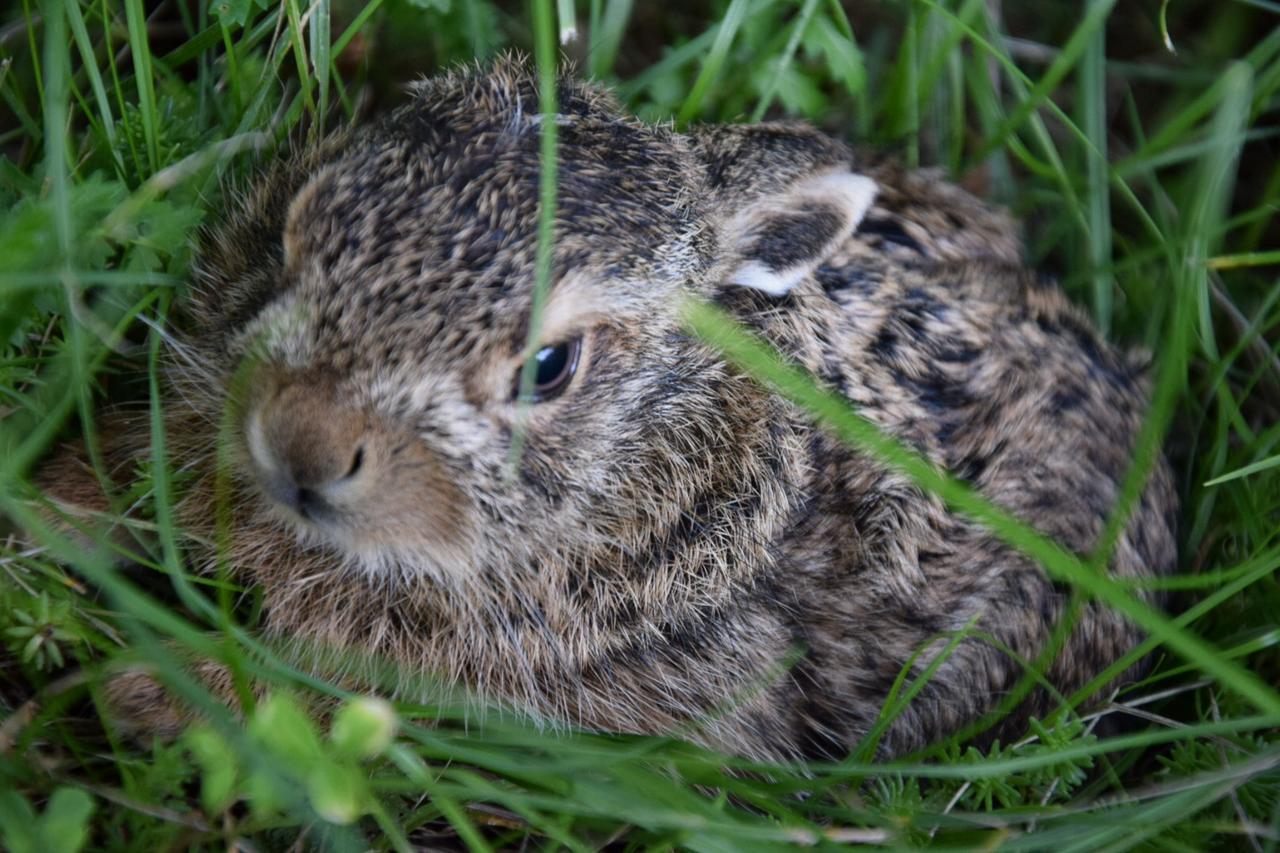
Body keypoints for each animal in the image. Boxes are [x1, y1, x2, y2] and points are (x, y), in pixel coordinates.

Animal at [37, 59, 1177, 758]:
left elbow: (350, 707)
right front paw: (49, 498)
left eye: (549, 368)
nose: (302, 447)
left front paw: (152, 692)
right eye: (291, 235)